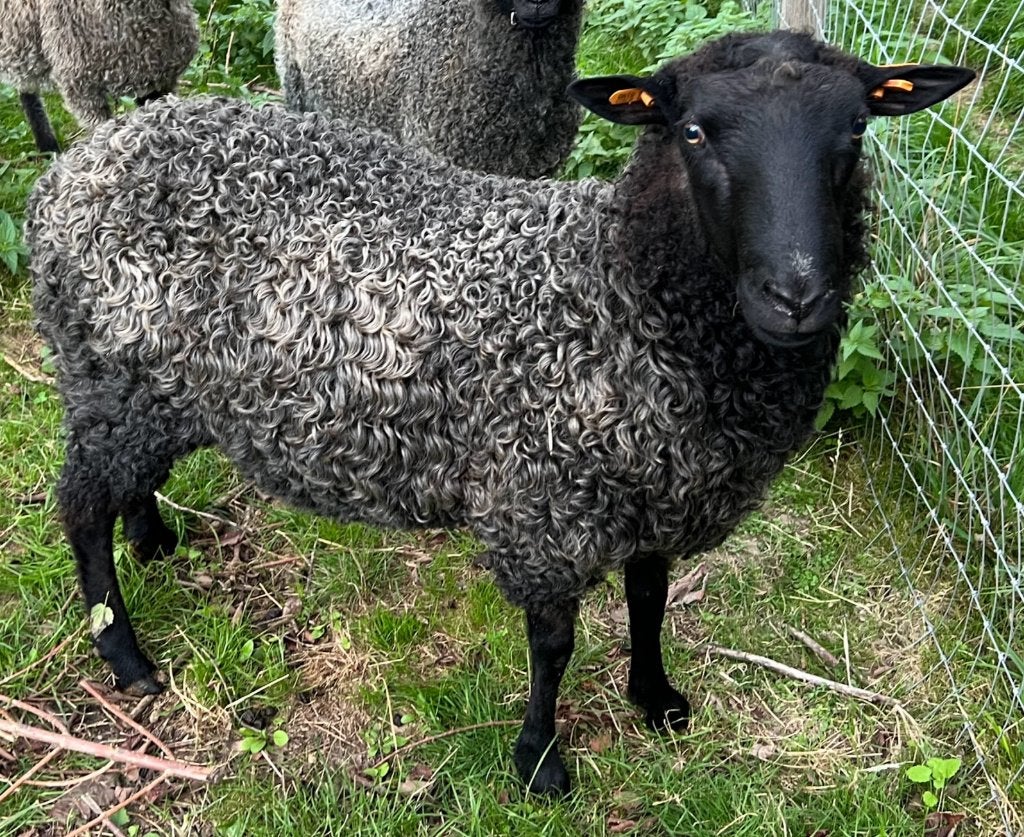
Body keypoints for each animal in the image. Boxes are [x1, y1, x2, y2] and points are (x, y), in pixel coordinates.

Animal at [27, 30, 973, 794]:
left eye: (856, 130)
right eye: (695, 131)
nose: (796, 296)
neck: (622, 290)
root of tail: (76, 165)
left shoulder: (652, 486)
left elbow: (651, 595)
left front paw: (656, 698)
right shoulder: (543, 501)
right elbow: (552, 645)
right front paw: (540, 762)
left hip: (150, 392)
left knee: (122, 485)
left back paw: (154, 538)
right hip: (110, 376)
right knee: (79, 505)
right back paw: (126, 655)